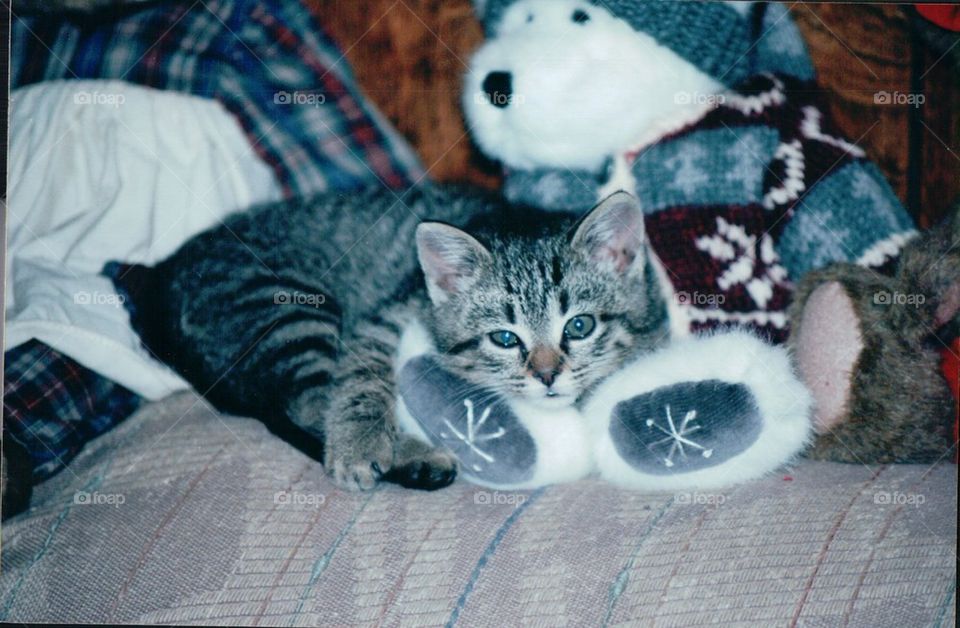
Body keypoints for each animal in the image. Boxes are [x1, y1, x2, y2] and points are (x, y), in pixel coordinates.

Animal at [122, 186, 668, 490]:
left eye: (579, 326)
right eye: (504, 338)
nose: (548, 374)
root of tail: (161, 278)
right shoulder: (385, 314)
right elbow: (360, 381)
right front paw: (360, 444)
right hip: (286, 307)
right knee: (309, 400)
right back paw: (410, 455)